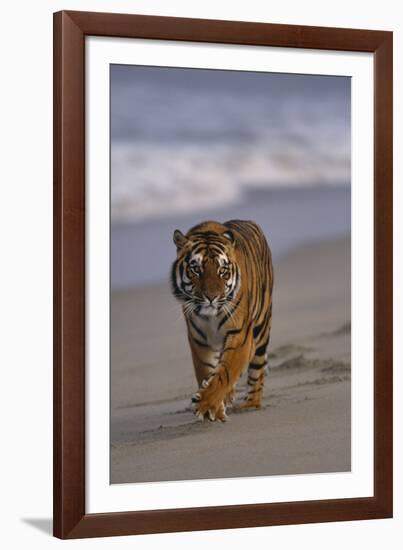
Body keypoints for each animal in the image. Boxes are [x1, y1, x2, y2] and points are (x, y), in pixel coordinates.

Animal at [171, 220, 274, 422]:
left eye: (222, 271)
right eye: (196, 269)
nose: (211, 297)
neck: (210, 317)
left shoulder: (240, 337)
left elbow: (225, 374)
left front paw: (206, 405)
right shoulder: (199, 341)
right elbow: (207, 372)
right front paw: (215, 409)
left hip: (261, 329)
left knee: (256, 371)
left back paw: (250, 404)